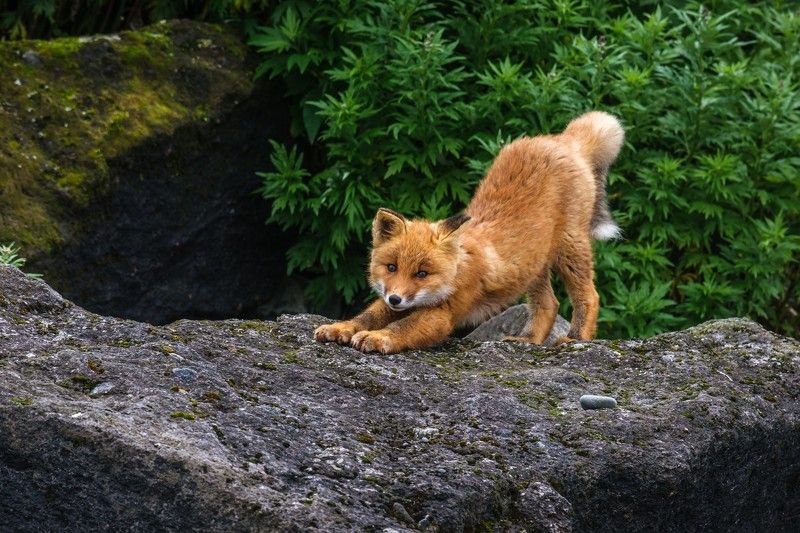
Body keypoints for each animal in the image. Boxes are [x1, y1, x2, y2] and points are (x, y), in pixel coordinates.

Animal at [315, 111, 624, 354]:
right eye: (391, 267)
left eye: (422, 273)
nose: (396, 299)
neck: (458, 268)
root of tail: (561, 138)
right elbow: (365, 317)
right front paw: (342, 327)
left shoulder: (442, 314)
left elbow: (401, 328)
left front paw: (377, 337)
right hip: (533, 265)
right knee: (550, 304)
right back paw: (527, 340)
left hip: (569, 248)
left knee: (590, 296)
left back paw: (576, 339)